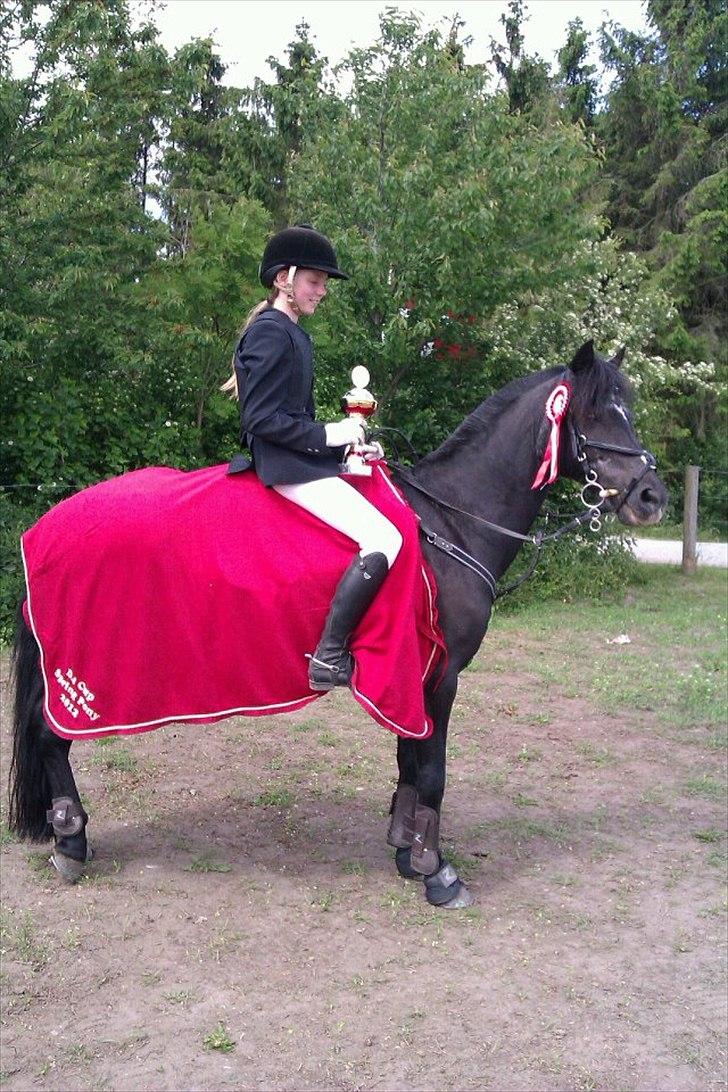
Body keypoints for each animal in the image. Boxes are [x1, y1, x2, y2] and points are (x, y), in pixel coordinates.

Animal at [7, 341, 667, 908]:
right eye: (595, 414)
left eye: (629, 411)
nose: (651, 497)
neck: (451, 524)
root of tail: (45, 525)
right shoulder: (441, 676)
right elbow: (433, 771)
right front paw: (438, 873)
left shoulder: (417, 674)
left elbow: (410, 759)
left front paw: (406, 852)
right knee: (51, 737)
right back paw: (70, 842)